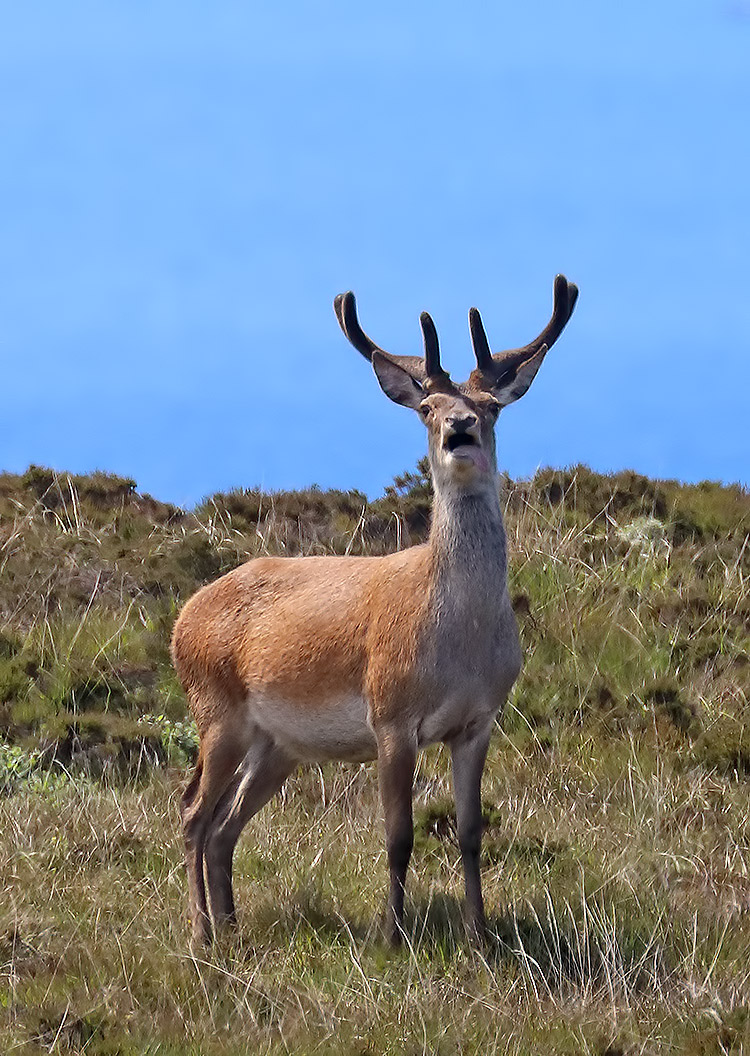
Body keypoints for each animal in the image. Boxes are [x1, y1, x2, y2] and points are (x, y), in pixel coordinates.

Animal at [171, 275, 578, 948]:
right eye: (426, 407)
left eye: (491, 405)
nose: (460, 426)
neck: (460, 649)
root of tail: (182, 619)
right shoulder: (391, 714)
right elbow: (398, 835)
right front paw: (392, 936)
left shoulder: (480, 720)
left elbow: (470, 834)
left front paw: (481, 935)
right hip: (217, 711)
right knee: (193, 812)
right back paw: (202, 932)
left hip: (277, 744)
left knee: (225, 824)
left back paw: (232, 925)